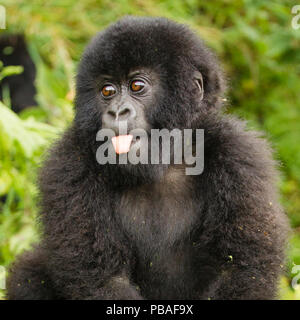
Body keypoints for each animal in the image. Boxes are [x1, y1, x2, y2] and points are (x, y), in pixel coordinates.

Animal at [6, 15, 288, 300]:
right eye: (107, 90)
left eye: (137, 86)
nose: (117, 112)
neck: (167, 160)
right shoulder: (68, 163)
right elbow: (104, 279)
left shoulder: (238, 155)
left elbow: (239, 269)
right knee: (30, 270)